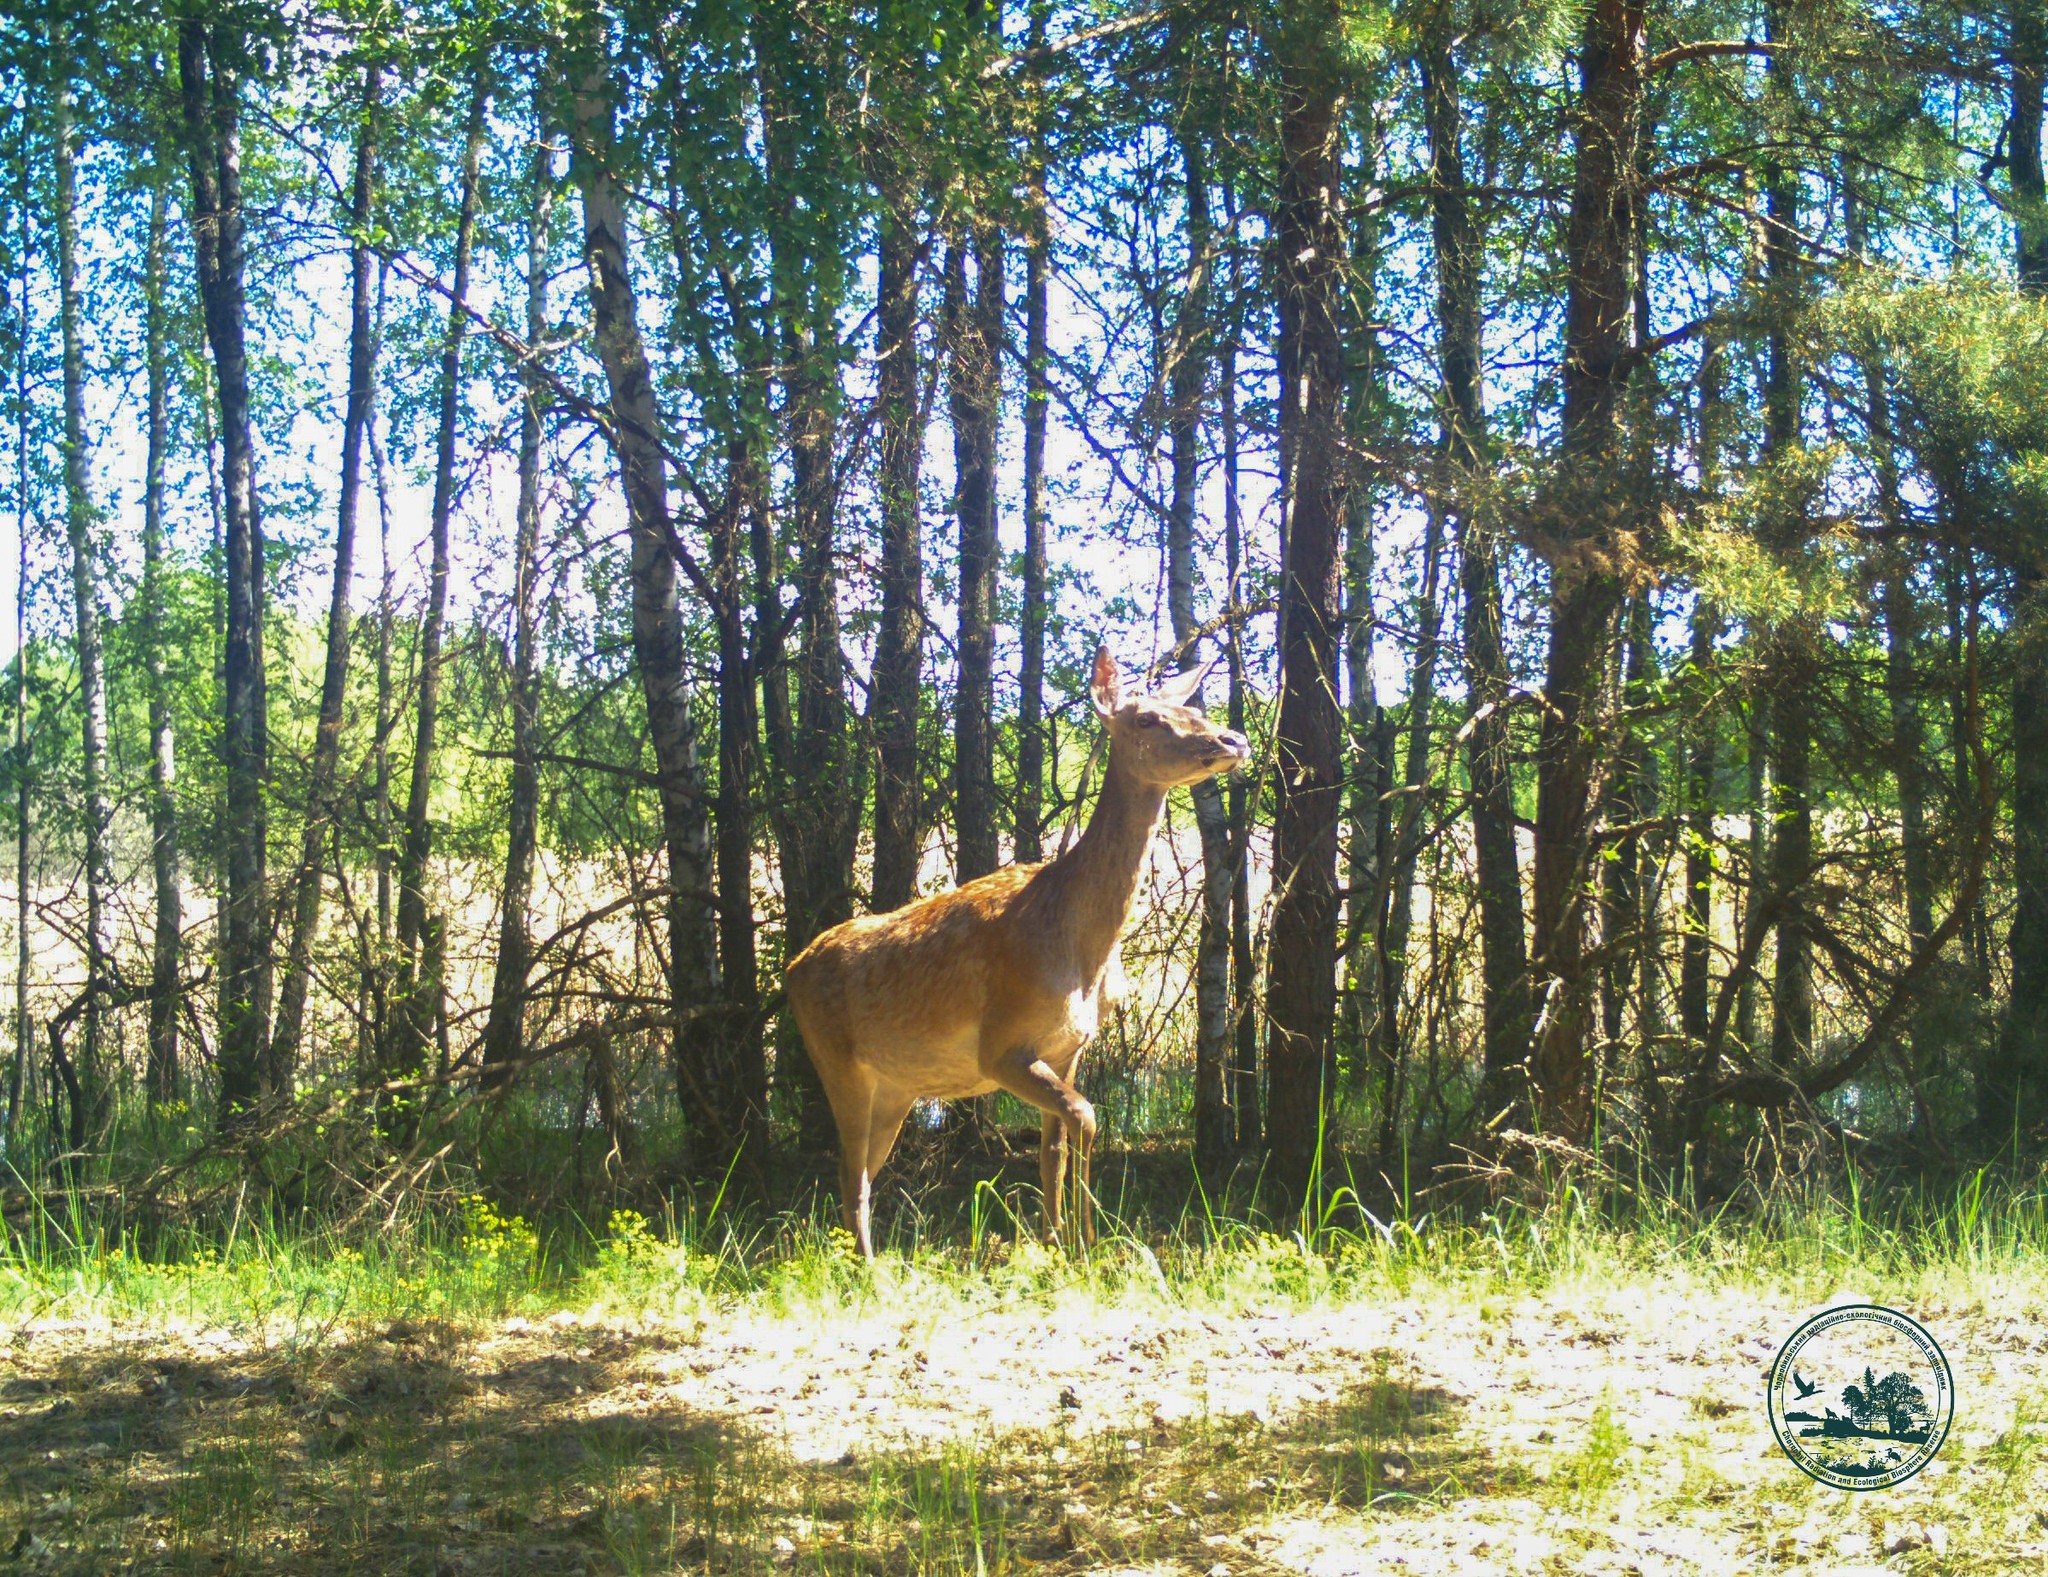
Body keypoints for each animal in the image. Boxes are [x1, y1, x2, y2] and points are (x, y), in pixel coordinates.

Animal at [786, 646, 1251, 1258]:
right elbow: (1087, 1115)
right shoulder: (1000, 1044)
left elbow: (1053, 1150)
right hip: (835, 1058)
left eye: (1192, 707)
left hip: (896, 1086)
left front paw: (1058, 1245)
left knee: (865, 1167)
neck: (1081, 952)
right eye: (1148, 718)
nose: (1233, 740)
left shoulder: (1070, 1045)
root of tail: (790, 971)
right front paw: (1086, 1242)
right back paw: (868, 1266)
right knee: (849, 1172)